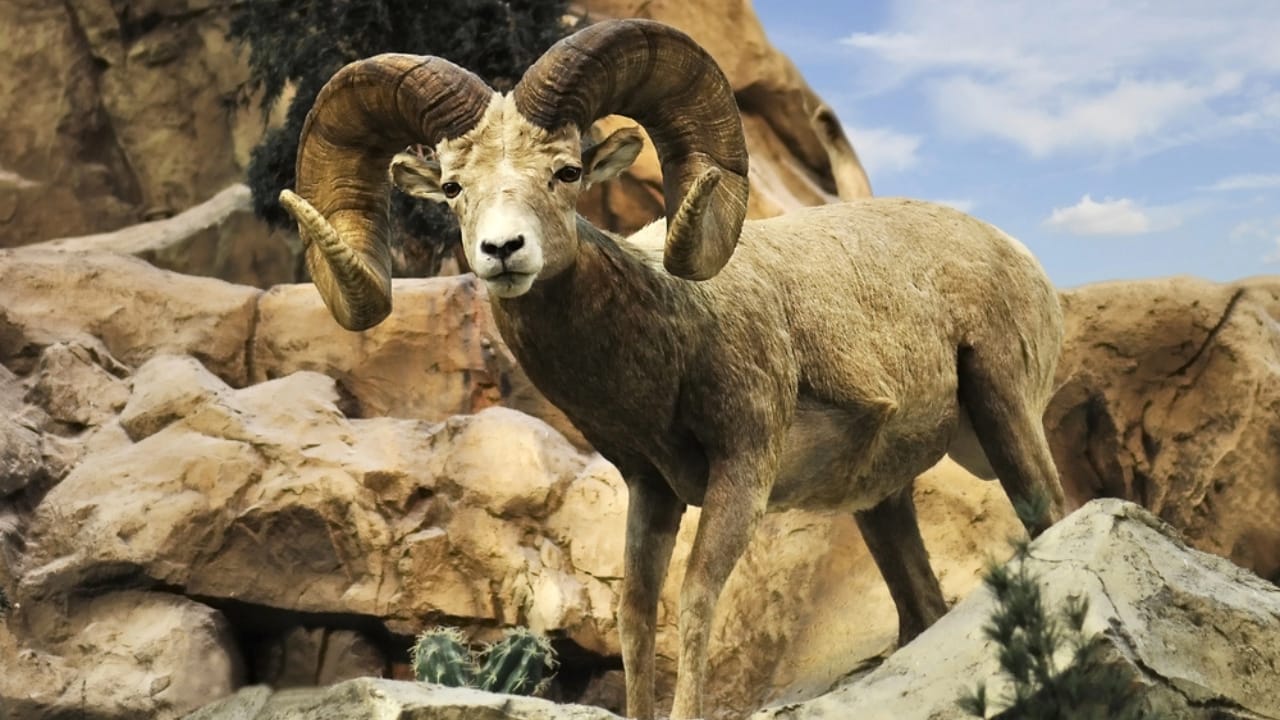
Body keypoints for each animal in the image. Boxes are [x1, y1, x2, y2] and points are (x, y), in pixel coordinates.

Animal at [276, 18, 1067, 719]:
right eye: (451, 187)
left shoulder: (742, 471)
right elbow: (634, 615)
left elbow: (694, 599)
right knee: (923, 606)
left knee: (1051, 517)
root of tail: (1018, 255)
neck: (671, 331)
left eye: (565, 172)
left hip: (1004, 414)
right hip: (882, 500)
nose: (503, 251)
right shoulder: (650, 491)